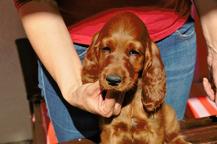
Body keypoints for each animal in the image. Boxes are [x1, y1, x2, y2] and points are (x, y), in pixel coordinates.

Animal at [81, 12, 190, 144]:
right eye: (106, 48)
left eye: (134, 52)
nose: (113, 80)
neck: (130, 99)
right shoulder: (110, 131)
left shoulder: (154, 131)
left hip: (170, 114)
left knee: (174, 135)